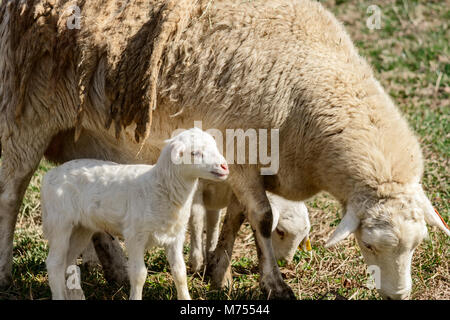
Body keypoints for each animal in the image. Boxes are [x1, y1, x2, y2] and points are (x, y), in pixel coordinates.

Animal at [41, 128, 229, 300]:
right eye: (194, 153)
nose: (224, 167)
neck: (161, 187)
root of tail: (49, 174)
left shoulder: (175, 236)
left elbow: (179, 272)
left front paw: (186, 298)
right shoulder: (135, 235)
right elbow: (139, 274)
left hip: (81, 227)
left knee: (68, 260)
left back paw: (75, 295)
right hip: (60, 221)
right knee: (55, 263)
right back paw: (60, 295)